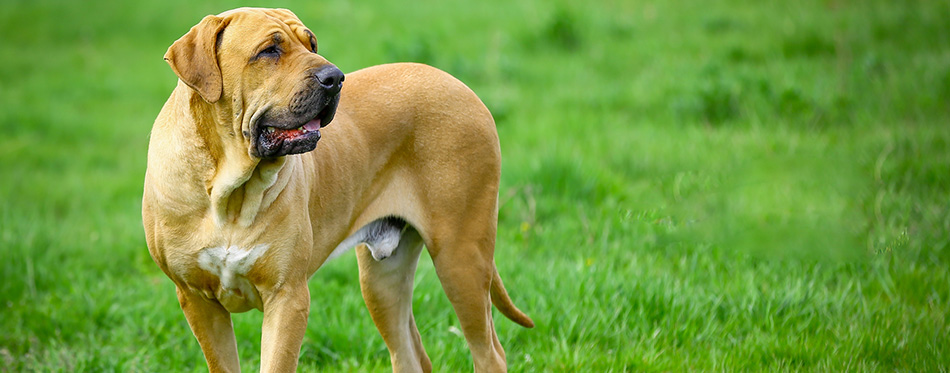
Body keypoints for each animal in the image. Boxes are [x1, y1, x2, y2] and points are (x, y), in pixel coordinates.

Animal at [141, 6, 532, 372]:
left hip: (460, 256)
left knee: (489, 354)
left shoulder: (287, 298)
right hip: (382, 280)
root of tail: (461, 86)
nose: (334, 78)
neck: (228, 191)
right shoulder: (197, 299)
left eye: (311, 44)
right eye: (269, 50)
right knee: (410, 355)